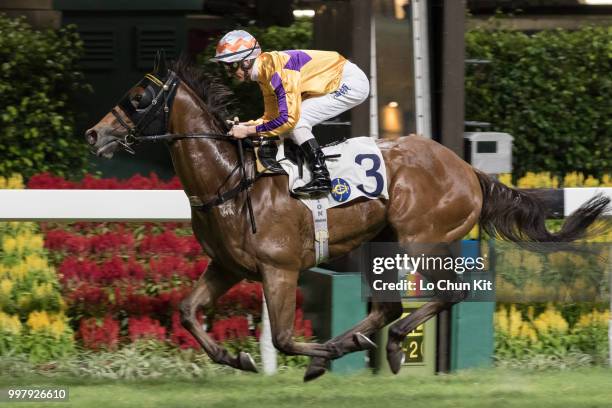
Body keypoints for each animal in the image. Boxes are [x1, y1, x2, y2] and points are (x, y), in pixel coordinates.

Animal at [83, 55, 608, 380]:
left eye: (137, 99)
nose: (93, 134)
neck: (231, 179)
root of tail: (468, 169)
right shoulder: (227, 266)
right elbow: (189, 312)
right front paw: (238, 358)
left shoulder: (279, 269)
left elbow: (286, 337)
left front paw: (318, 355)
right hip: (382, 243)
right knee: (387, 307)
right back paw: (362, 343)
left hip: (424, 240)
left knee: (445, 295)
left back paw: (390, 344)